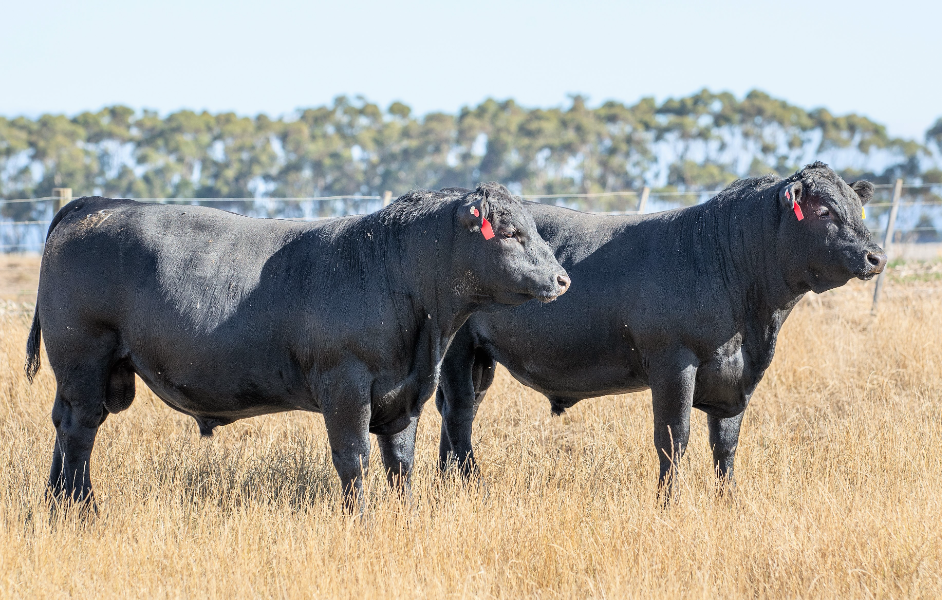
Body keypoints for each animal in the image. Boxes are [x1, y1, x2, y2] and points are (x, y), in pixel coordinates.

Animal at [29, 184, 572, 510]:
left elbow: (400, 462)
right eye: (510, 231)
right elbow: (354, 458)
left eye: (533, 227)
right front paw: (361, 521)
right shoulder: (345, 385)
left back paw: (55, 504)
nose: (563, 279)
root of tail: (94, 204)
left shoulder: (405, 395)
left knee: (62, 427)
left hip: (85, 373)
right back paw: (81, 509)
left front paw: (406, 516)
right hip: (84, 359)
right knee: (79, 433)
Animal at [438, 161, 888, 492]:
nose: (877, 256)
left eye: (858, 208)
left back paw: (444, 489)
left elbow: (726, 446)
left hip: (480, 359)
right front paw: (667, 504)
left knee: (456, 415)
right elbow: (674, 440)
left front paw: (729, 503)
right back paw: (474, 488)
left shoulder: (735, 379)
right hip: (456, 351)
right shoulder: (674, 363)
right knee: (459, 416)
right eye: (824, 211)